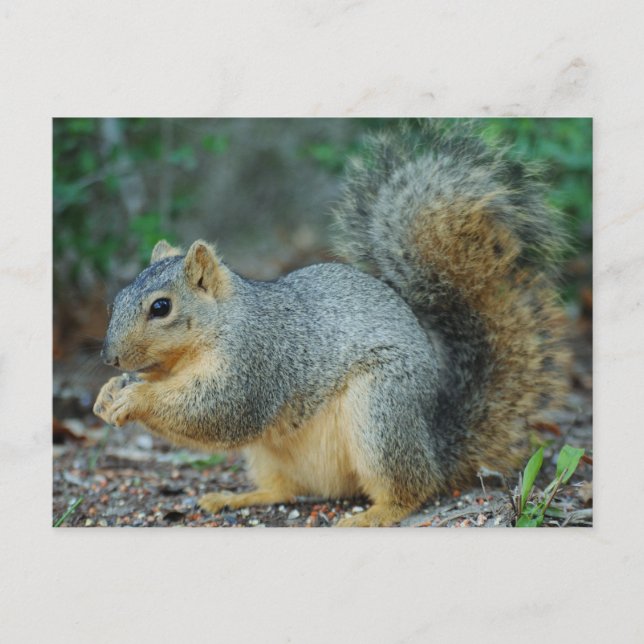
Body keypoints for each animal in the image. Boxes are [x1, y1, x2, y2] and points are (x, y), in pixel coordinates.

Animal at [93, 121, 569, 527]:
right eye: (117, 299)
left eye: (161, 307)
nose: (109, 358)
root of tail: (435, 445)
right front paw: (108, 394)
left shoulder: (256, 362)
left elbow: (221, 410)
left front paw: (135, 397)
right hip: (269, 454)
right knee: (285, 490)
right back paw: (238, 496)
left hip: (380, 410)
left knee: (414, 486)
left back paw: (375, 513)